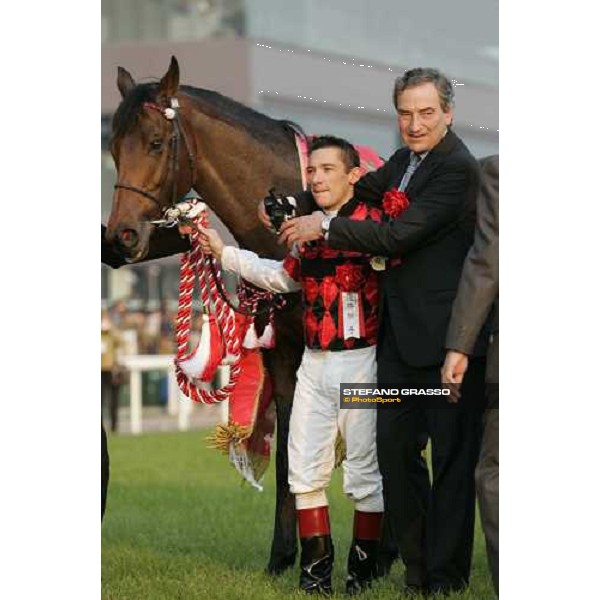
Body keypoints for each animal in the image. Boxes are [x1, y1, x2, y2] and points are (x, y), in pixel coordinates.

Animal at [103, 57, 308, 576]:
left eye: (157, 142)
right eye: (113, 147)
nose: (121, 236)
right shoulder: (283, 354)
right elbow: (289, 451)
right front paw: (283, 558)